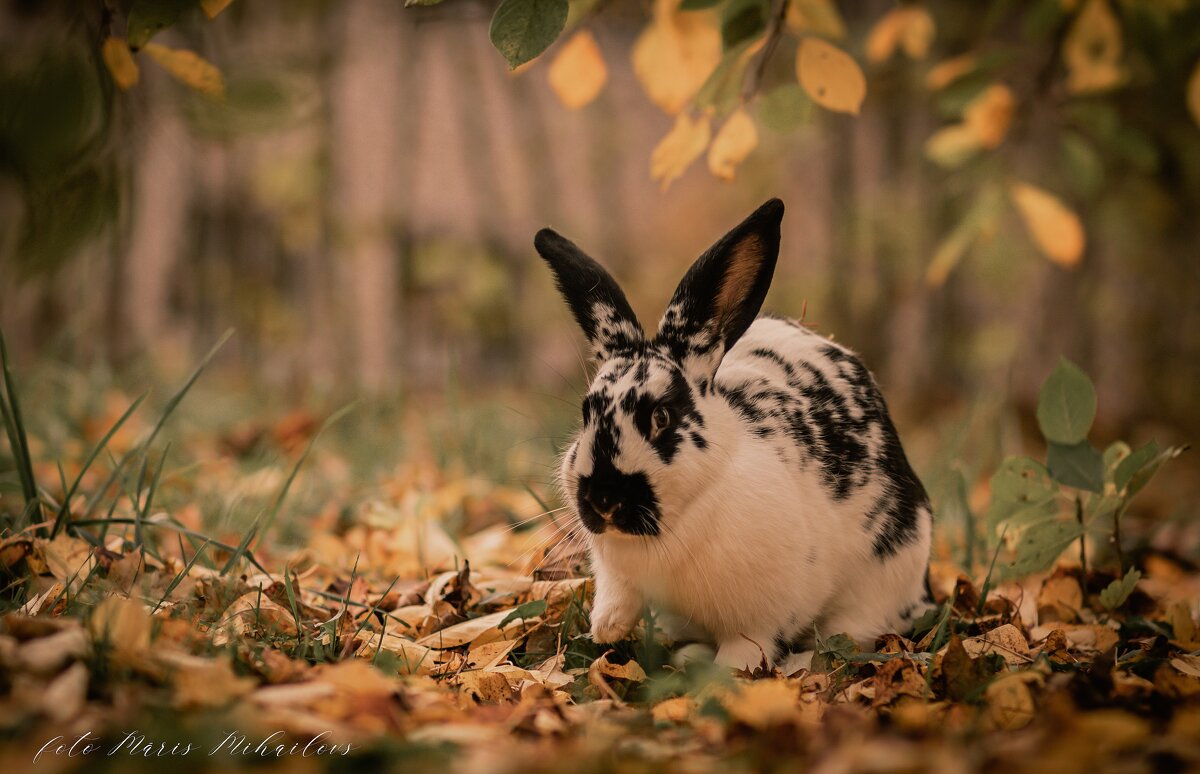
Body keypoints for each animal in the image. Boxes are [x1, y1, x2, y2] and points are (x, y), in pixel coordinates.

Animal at [535, 199, 936, 672]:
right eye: (586, 412)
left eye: (662, 417)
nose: (603, 500)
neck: (671, 528)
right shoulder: (618, 574)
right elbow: (620, 595)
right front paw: (606, 628)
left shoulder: (761, 614)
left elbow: (749, 644)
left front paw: (727, 673)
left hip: (883, 577)